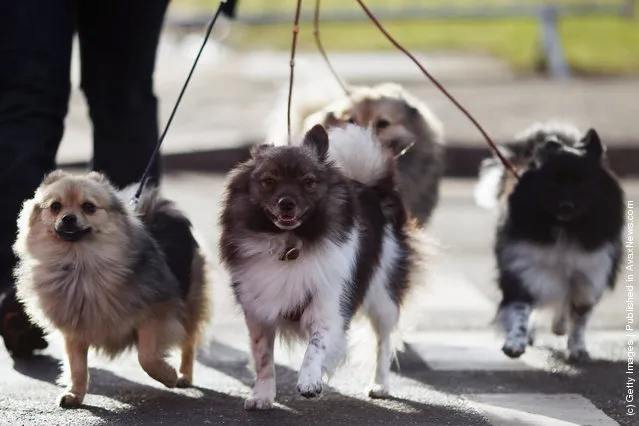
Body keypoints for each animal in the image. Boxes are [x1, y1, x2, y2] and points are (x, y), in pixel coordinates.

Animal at [13, 171, 210, 408]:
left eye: (88, 207)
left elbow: (147, 357)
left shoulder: (156, 314)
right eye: (55, 206)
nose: (68, 218)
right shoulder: (74, 329)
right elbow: (77, 367)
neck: (81, 265)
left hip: (190, 304)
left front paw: (168, 375)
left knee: (189, 343)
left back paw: (184, 375)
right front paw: (75, 394)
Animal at [222, 123, 418, 410]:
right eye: (269, 181)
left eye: (308, 182)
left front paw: (309, 381)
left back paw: (380, 385)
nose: (286, 202)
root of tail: (371, 188)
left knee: (383, 343)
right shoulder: (259, 314)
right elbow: (263, 359)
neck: (289, 246)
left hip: (383, 298)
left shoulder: (328, 307)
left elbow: (316, 347)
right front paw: (263, 396)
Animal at [478, 122, 624, 360]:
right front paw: (515, 342)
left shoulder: (588, 275)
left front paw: (578, 348)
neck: (564, 228)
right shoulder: (524, 270)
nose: (566, 206)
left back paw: (560, 327)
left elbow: (579, 316)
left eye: (582, 184)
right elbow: (520, 310)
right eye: (553, 183)